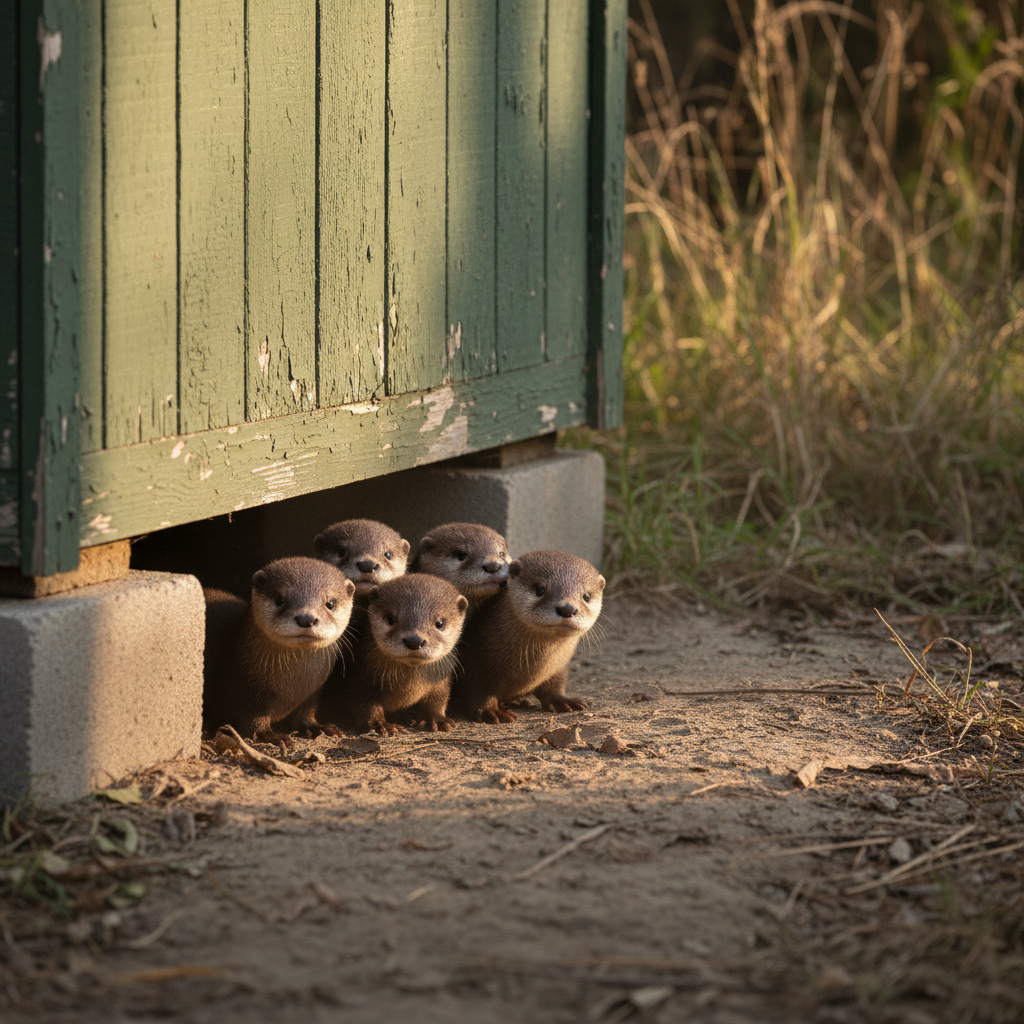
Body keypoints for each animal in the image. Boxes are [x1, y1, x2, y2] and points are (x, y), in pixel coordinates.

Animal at [203, 557, 355, 744]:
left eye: (330, 603)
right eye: (279, 599)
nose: (306, 618)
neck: (292, 688)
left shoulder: (313, 691)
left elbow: (306, 711)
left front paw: (318, 727)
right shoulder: (245, 688)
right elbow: (251, 718)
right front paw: (268, 735)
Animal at [320, 575, 468, 735]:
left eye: (439, 623)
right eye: (391, 619)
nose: (414, 641)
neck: (407, 689)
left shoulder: (441, 677)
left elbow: (437, 699)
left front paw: (436, 719)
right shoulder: (360, 677)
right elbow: (364, 704)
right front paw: (380, 724)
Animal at [452, 550, 604, 723]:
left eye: (586, 596)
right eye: (540, 590)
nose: (567, 609)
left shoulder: (558, 667)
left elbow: (554, 685)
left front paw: (563, 701)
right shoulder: (476, 663)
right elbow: (478, 693)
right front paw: (490, 712)